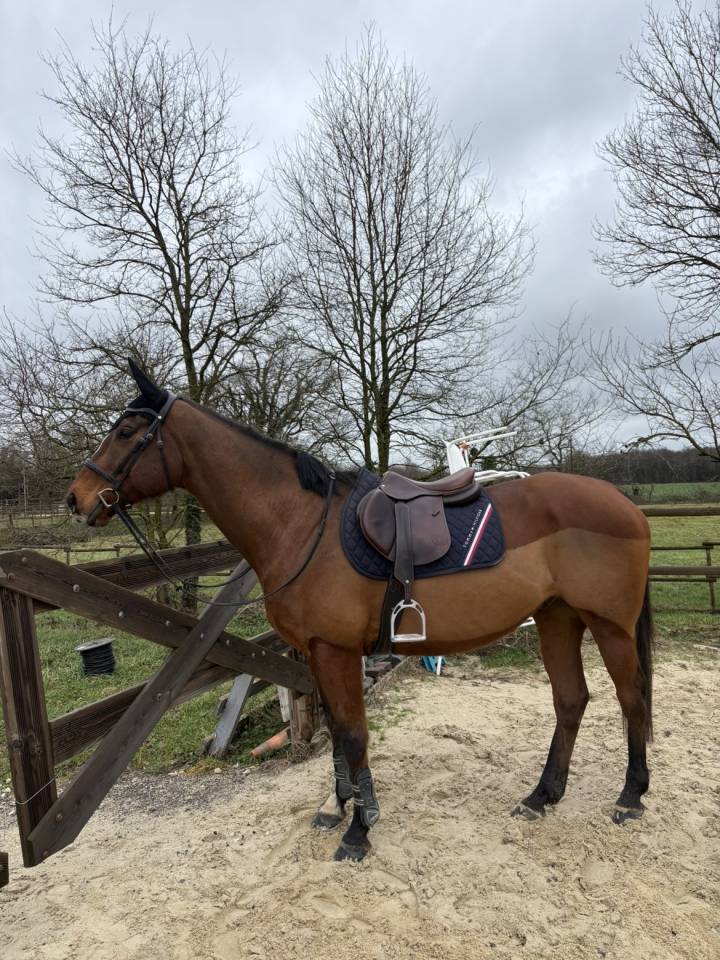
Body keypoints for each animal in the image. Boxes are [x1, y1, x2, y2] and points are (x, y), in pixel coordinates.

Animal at [65, 362, 654, 862]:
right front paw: (338, 805)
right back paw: (541, 796)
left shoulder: (336, 650)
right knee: (570, 700)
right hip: (558, 618)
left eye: (126, 432)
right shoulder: (315, 652)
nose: (77, 498)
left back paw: (630, 796)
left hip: (610, 626)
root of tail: (624, 504)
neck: (302, 525)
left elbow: (352, 734)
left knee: (632, 699)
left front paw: (359, 828)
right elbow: (334, 728)